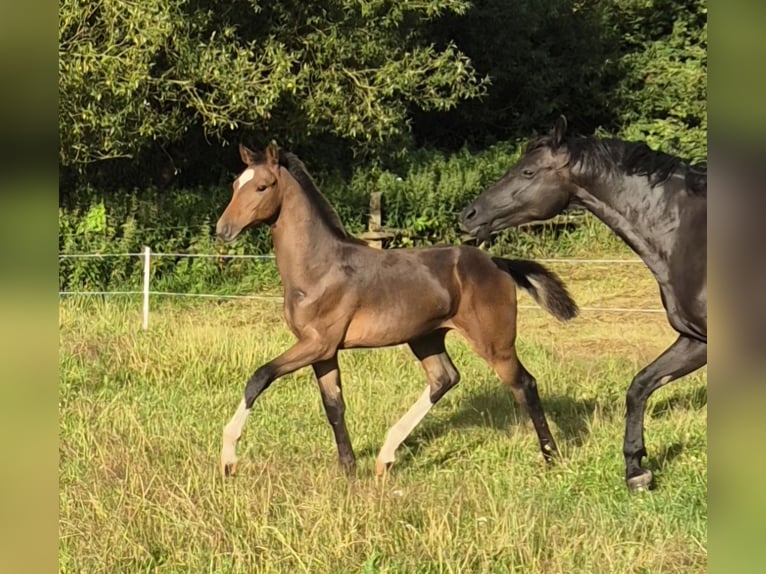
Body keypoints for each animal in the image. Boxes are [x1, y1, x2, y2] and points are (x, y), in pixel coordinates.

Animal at [213, 143, 580, 476]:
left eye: (262, 186)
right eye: (235, 184)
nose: (222, 230)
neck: (318, 268)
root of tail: (496, 262)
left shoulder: (316, 344)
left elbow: (259, 377)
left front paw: (228, 458)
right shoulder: (323, 351)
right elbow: (334, 406)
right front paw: (348, 470)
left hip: (494, 343)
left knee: (524, 385)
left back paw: (552, 457)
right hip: (426, 337)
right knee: (444, 378)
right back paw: (385, 457)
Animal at [462, 116, 708, 490]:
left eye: (528, 171)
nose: (469, 215)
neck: (689, 236)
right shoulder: (695, 339)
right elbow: (641, 385)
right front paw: (636, 471)